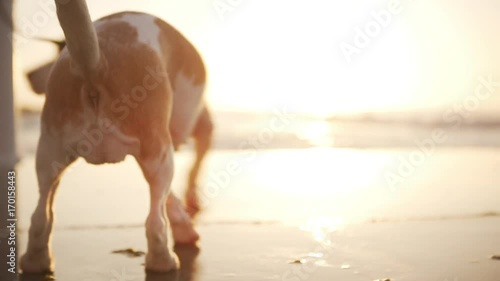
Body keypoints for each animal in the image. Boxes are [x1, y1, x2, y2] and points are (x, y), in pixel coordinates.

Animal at [20, 0, 212, 272]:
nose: (27, 76)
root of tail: (96, 64)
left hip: (48, 154)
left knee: (40, 216)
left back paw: (36, 261)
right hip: (160, 156)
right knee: (155, 221)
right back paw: (163, 261)